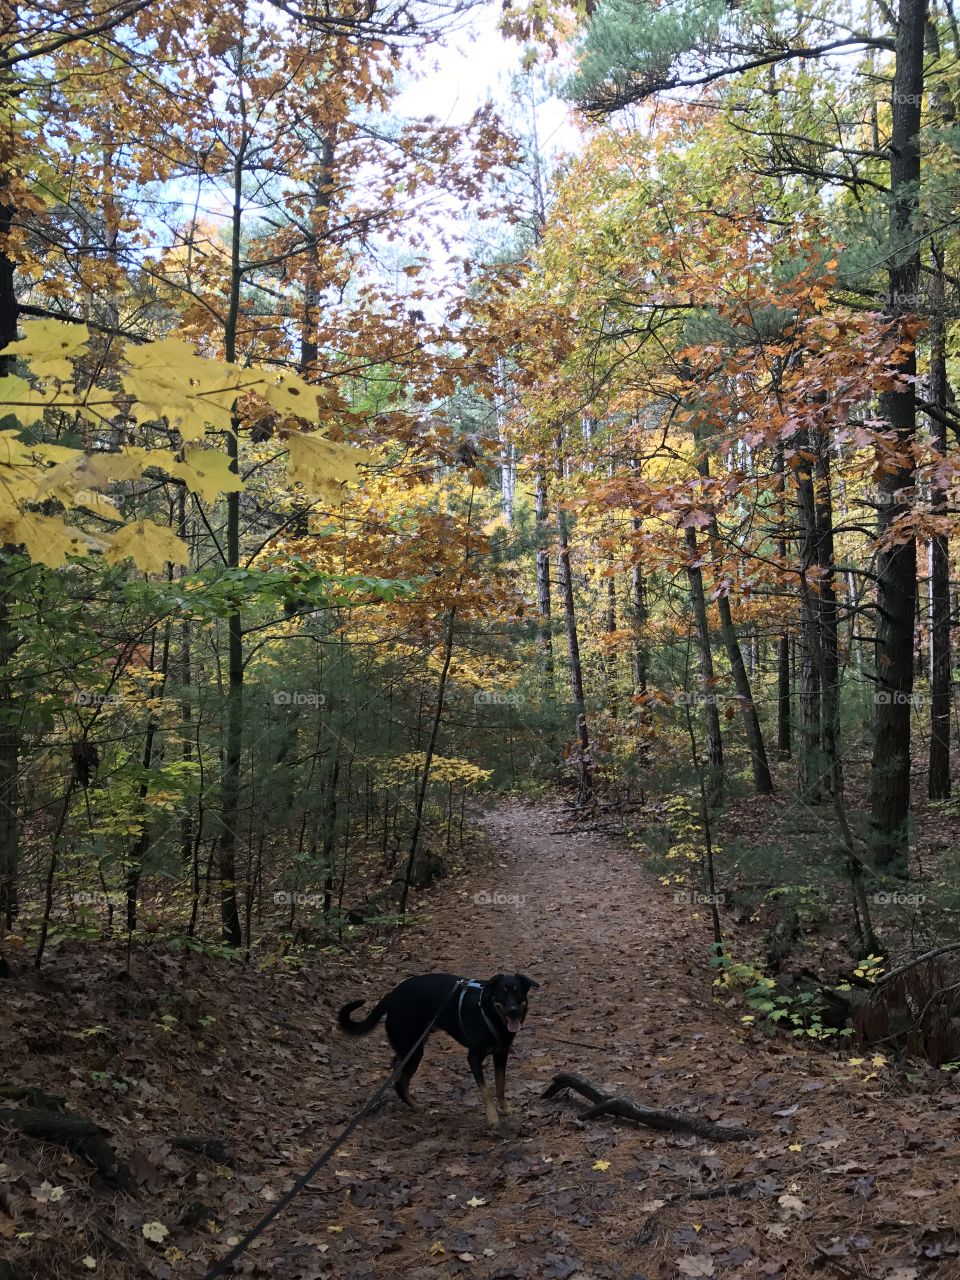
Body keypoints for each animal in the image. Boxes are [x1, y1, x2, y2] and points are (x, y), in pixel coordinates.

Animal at [337, 967, 537, 1131]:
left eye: (518, 993)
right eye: (502, 994)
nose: (513, 1010)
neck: (490, 1015)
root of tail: (390, 996)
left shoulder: (501, 1053)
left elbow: (501, 1085)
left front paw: (506, 1108)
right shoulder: (473, 1057)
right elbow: (486, 1090)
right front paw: (492, 1117)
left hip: (411, 1045)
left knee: (397, 1068)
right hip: (414, 1050)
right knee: (400, 1082)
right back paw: (415, 1106)